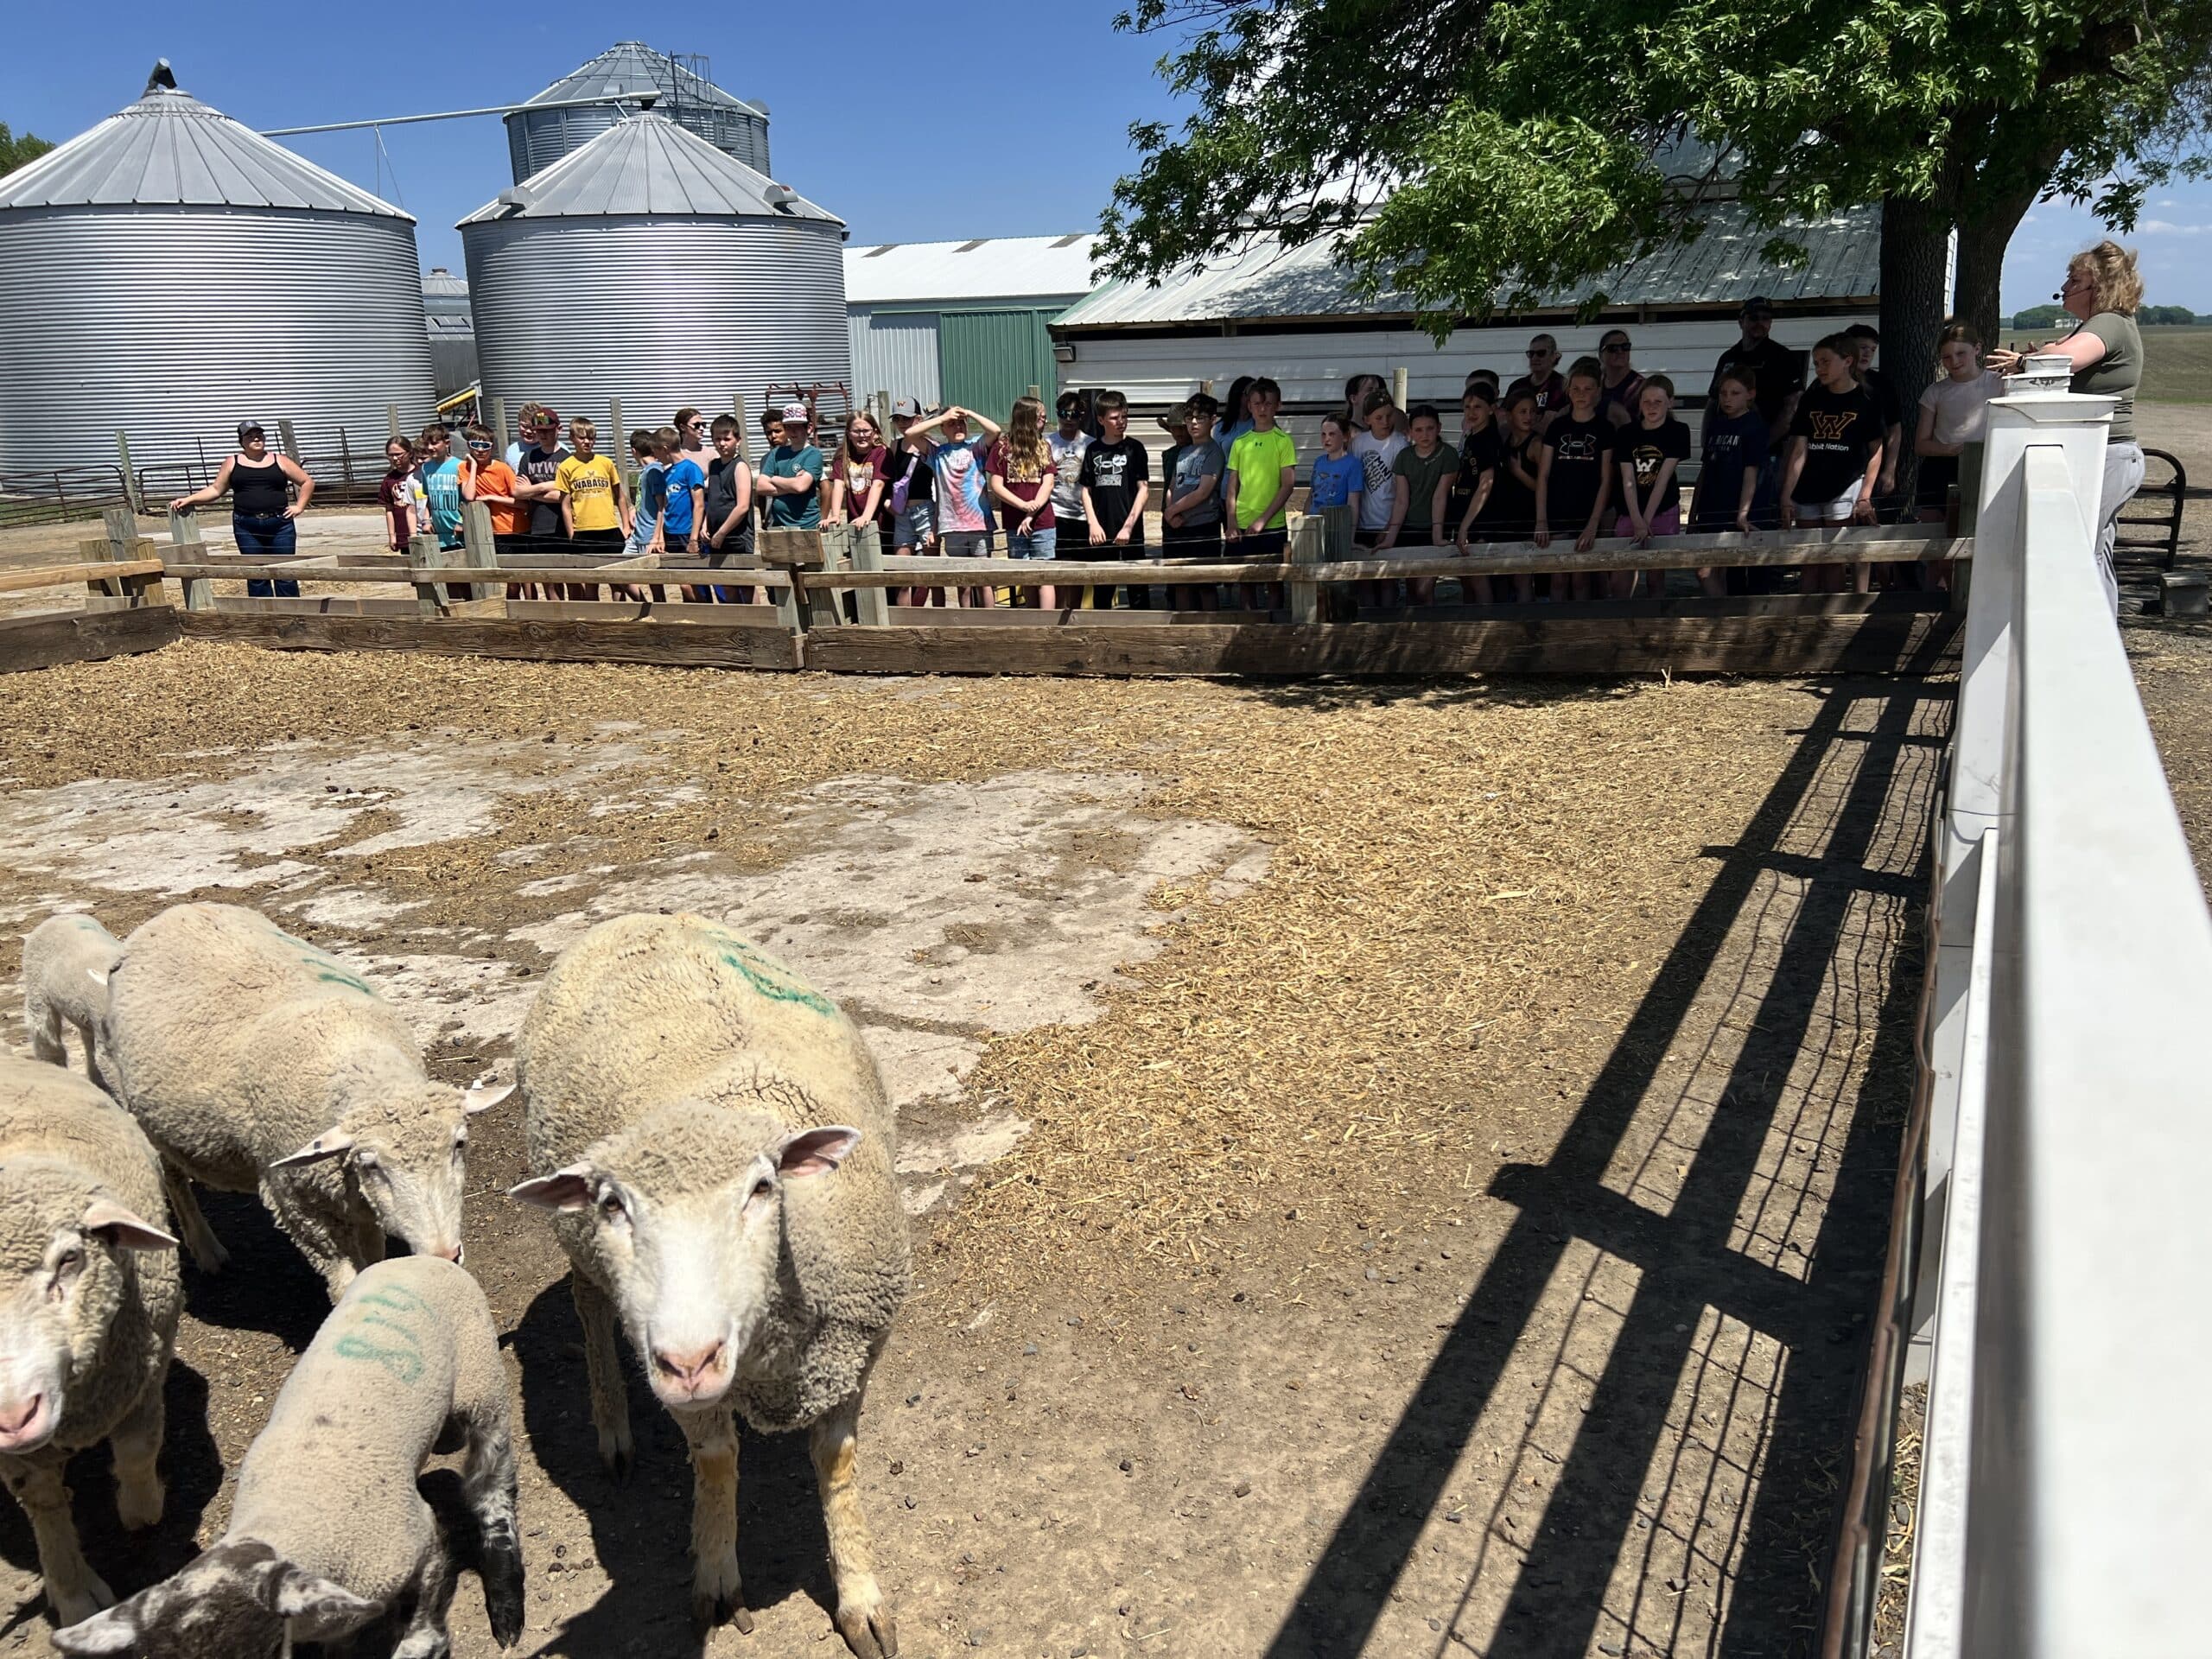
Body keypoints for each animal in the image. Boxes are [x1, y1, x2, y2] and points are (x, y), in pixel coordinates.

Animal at [0, 1054, 181, 1628]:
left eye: (69, 1259)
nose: (14, 1418)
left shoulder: (145, 1377)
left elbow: (139, 1460)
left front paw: (142, 1505)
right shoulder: (16, 1457)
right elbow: (45, 1503)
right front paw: (73, 1590)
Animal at [51, 1253, 524, 1659]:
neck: (284, 1523)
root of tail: (420, 1258)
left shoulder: (415, 1541)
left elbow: (424, 1615)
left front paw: (423, 1645)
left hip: (481, 1377)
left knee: (492, 1482)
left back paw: (506, 1601)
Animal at [102, 903, 510, 1300]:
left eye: (460, 1144)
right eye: (371, 1164)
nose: (445, 1255)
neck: (361, 1063)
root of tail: (172, 913)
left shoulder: (359, 1202)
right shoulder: (298, 1206)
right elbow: (342, 1279)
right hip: (138, 1110)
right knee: (172, 1178)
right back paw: (207, 1251)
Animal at [509, 912, 910, 1658]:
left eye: (763, 1188)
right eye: (613, 1205)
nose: (689, 1360)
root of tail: (632, 913)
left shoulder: (852, 1354)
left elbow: (837, 1465)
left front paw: (860, 1597)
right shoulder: (686, 1385)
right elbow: (717, 1461)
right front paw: (718, 1579)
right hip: (579, 1250)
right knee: (587, 1306)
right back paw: (613, 1430)